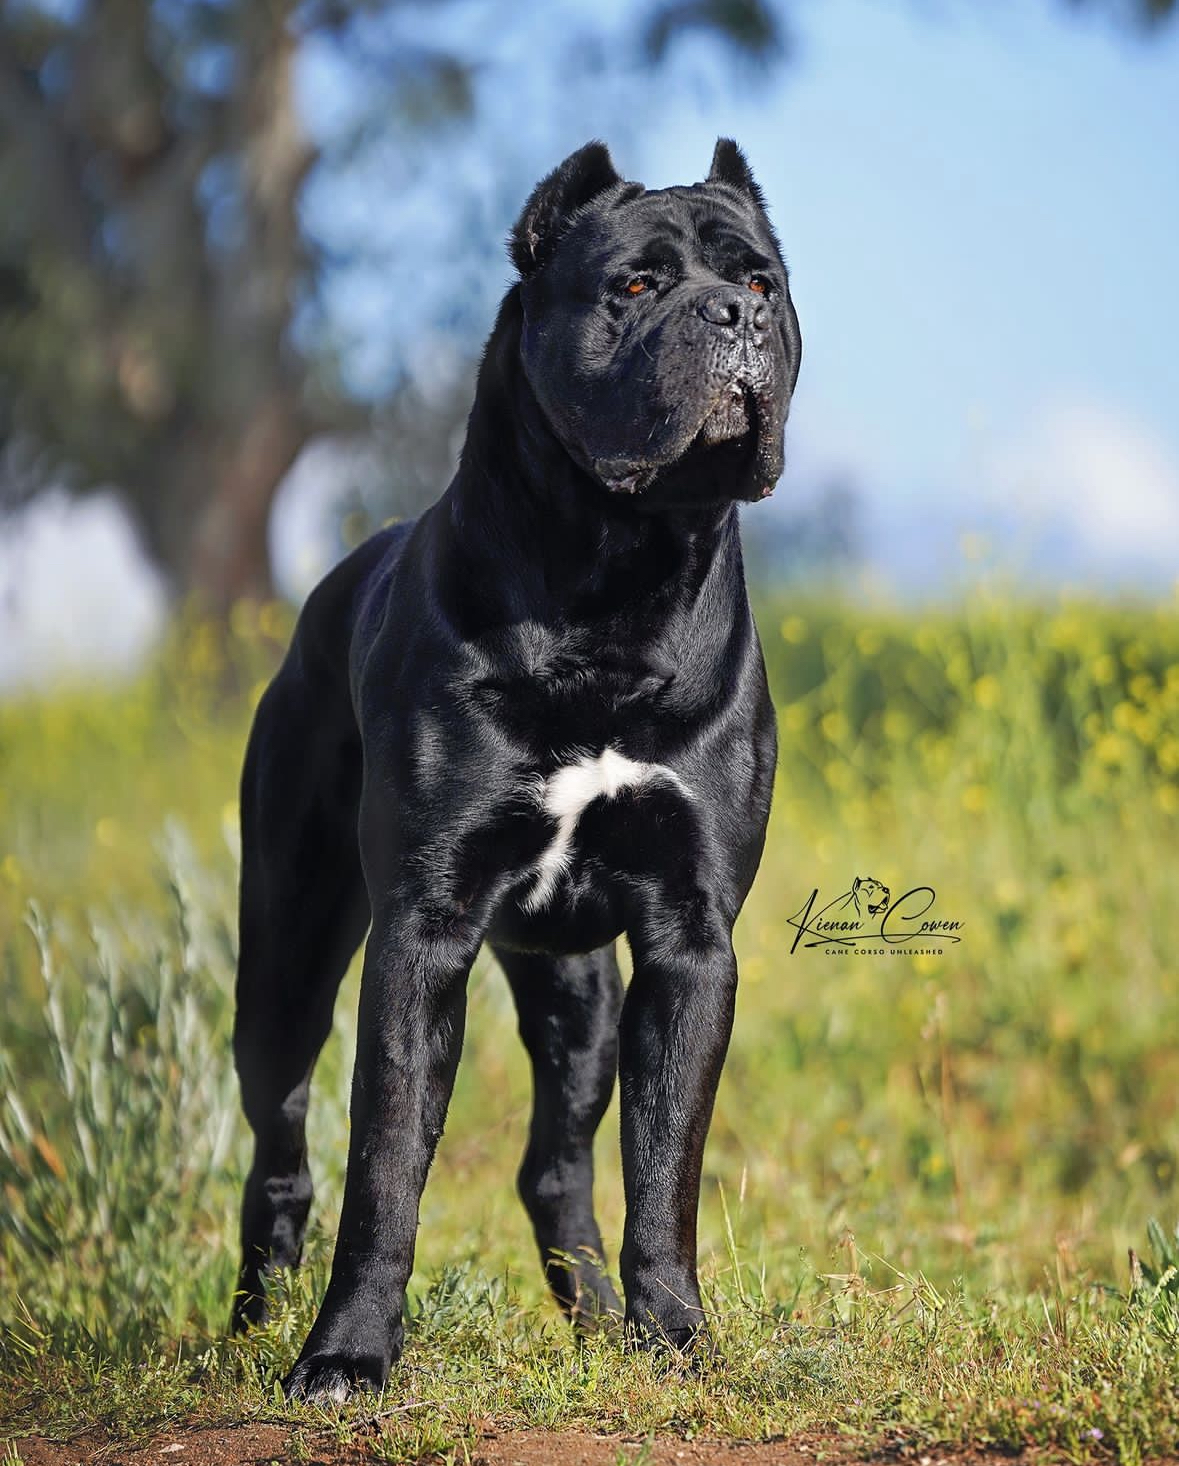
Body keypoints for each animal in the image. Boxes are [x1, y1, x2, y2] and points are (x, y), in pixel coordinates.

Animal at [230, 138, 801, 1403]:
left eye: (763, 279)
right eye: (636, 285)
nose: (735, 315)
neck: (619, 572)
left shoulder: (690, 939)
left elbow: (665, 1160)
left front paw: (674, 1331)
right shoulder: (423, 925)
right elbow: (386, 1163)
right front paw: (347, 1354)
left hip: (573, 990)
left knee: (559, 1160)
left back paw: (599, 1317)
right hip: (284, 953)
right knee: (280, 1148)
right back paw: (252, 1323)